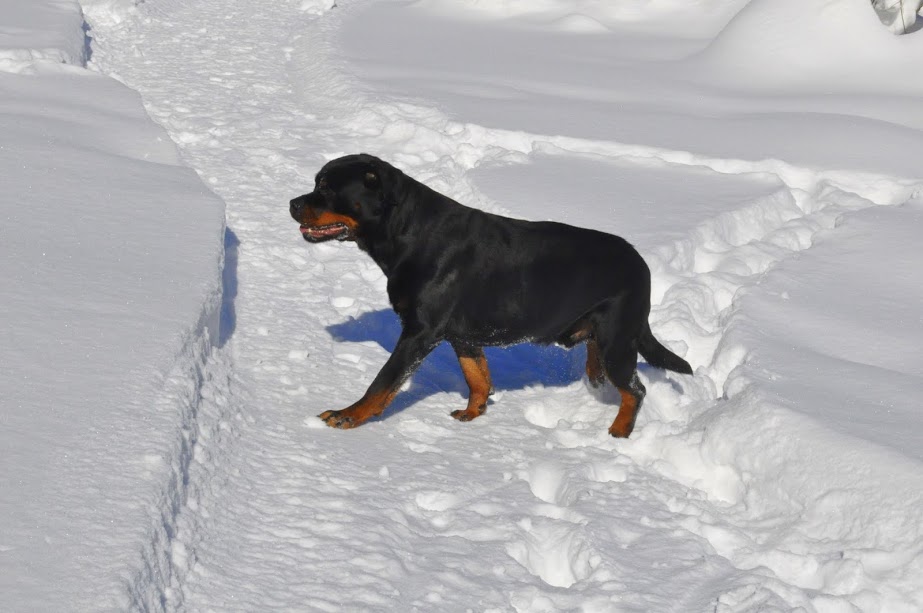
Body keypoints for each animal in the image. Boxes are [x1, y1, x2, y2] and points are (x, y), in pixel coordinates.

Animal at [289, 154, 692, 437]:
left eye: (327, 188)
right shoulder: (461, 336)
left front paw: (348, 416)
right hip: (603, 334)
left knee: (636, 389)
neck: (407, 233)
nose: (292, 203)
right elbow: (477, 377)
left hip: (618, 339)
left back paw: (620, 430)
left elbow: (383, 382)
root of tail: (641, 264)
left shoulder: (419, 333)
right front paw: (473, 412)